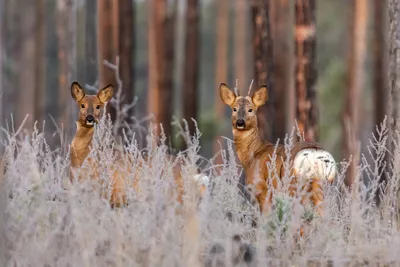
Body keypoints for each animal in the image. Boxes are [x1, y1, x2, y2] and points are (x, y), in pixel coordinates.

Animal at [219, 82, 338, 218]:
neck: (252, 155)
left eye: (250, 109)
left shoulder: (262, 188)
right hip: (322, 186)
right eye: (234, 109)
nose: (240, 122)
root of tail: (316, 154)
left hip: (294, 184)